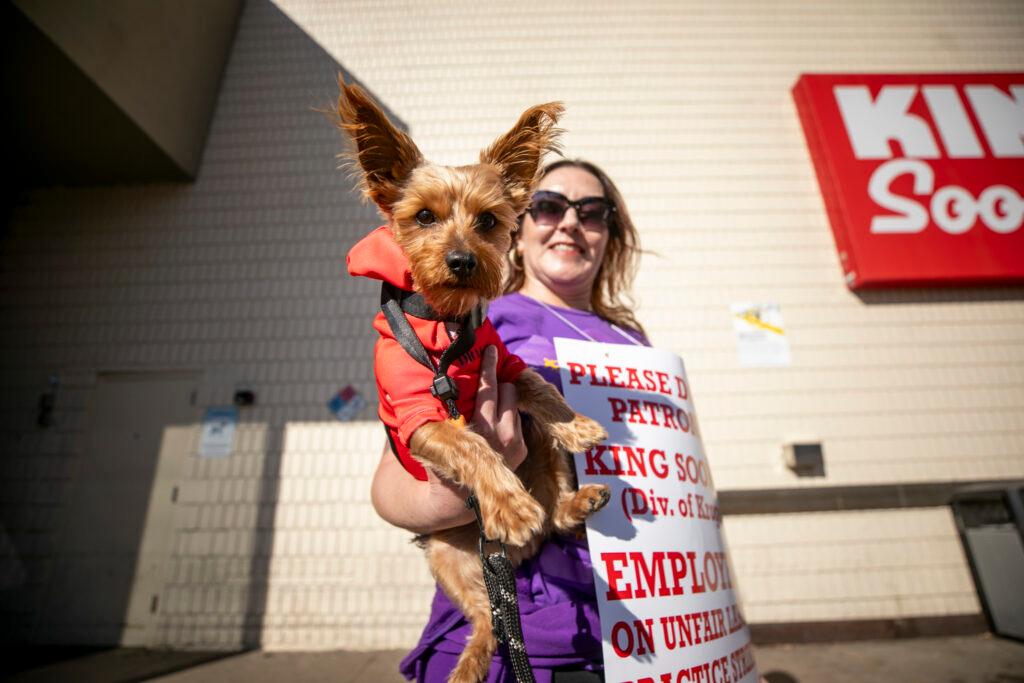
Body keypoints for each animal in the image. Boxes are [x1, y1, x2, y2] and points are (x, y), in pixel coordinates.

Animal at [335, 77, 606, 679]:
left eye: (488, 221)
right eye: (423, 217)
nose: (462, 261)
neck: (446, 321)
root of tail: (518, 558)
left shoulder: (502, 364)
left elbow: (539, 388)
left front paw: (576, 424)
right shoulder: (420, 417)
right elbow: (474, 445)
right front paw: (509, 506)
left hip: (537, 452)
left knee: (555, 513)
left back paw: (574, 503)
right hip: (445, 558)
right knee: (486, 622)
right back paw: (467, 664)